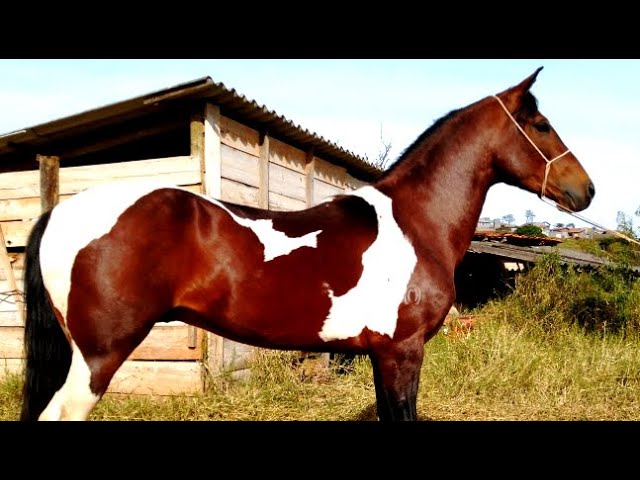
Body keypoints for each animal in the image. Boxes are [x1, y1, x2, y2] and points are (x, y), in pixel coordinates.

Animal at [18, 66, 596, 420]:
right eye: (541, 125)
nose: (585, 190)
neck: (415, 224)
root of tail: (61, 211)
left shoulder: (380, 356)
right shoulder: (402, 352)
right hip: (98, 357)